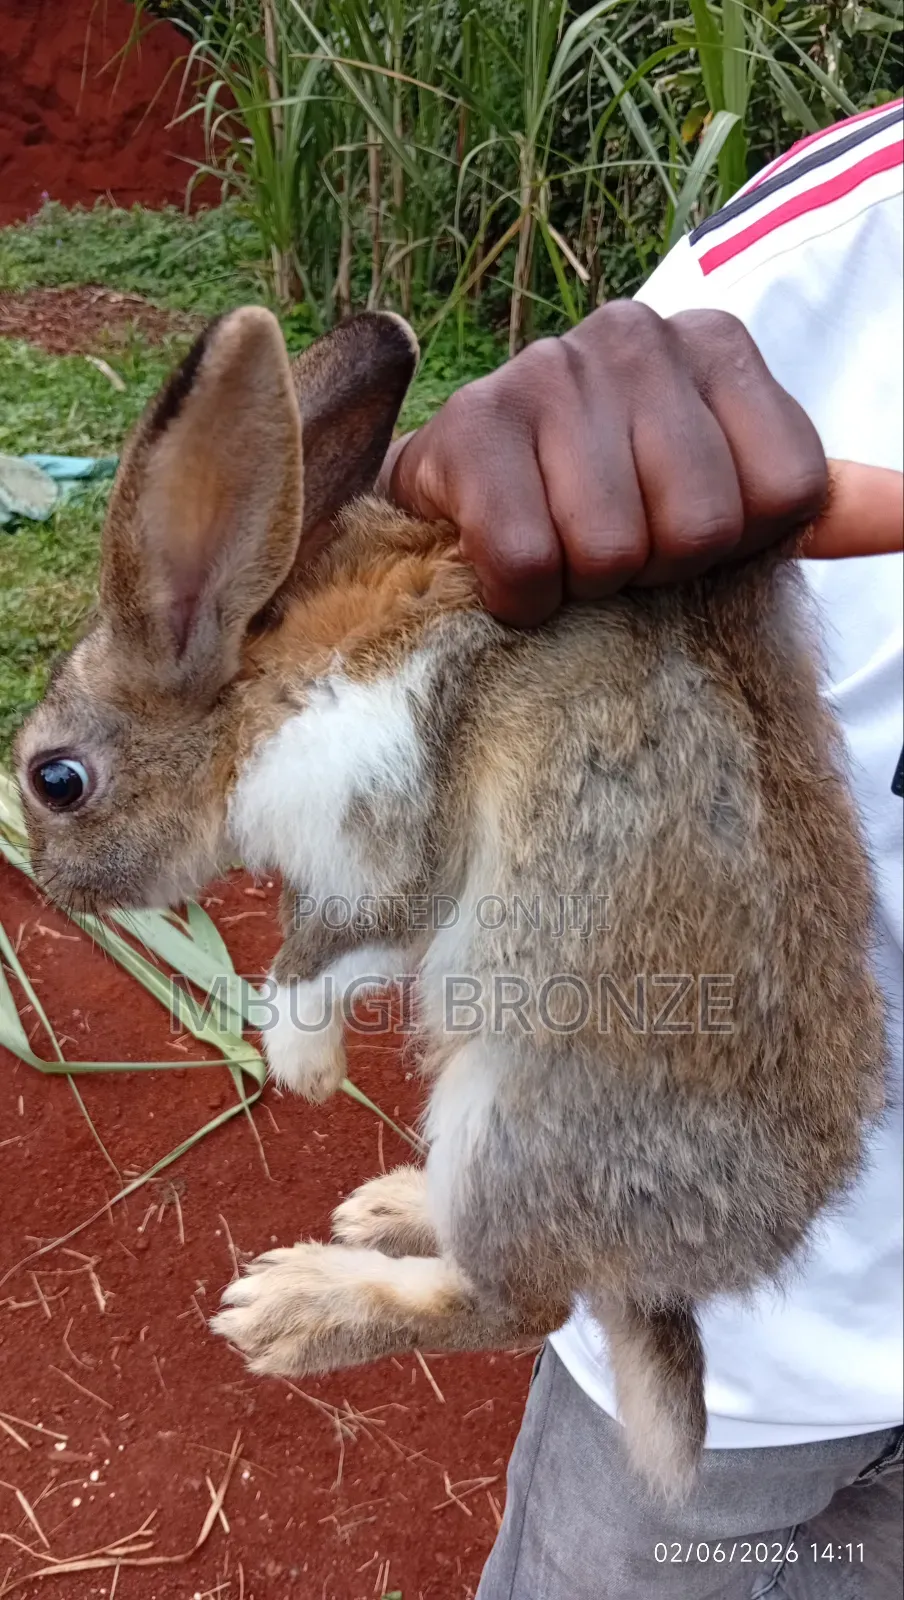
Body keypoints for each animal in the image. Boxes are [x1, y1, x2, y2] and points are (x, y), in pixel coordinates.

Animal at [14, 306, 886, 1501]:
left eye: (56, 780)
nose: (53, 886)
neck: (242, 699)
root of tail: (678, 1270)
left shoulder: (387, 830)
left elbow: (322, 954)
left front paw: (301, 1067)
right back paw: (387, 1206)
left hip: (511, 1124)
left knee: (520, 1303)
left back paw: (293, 1308)